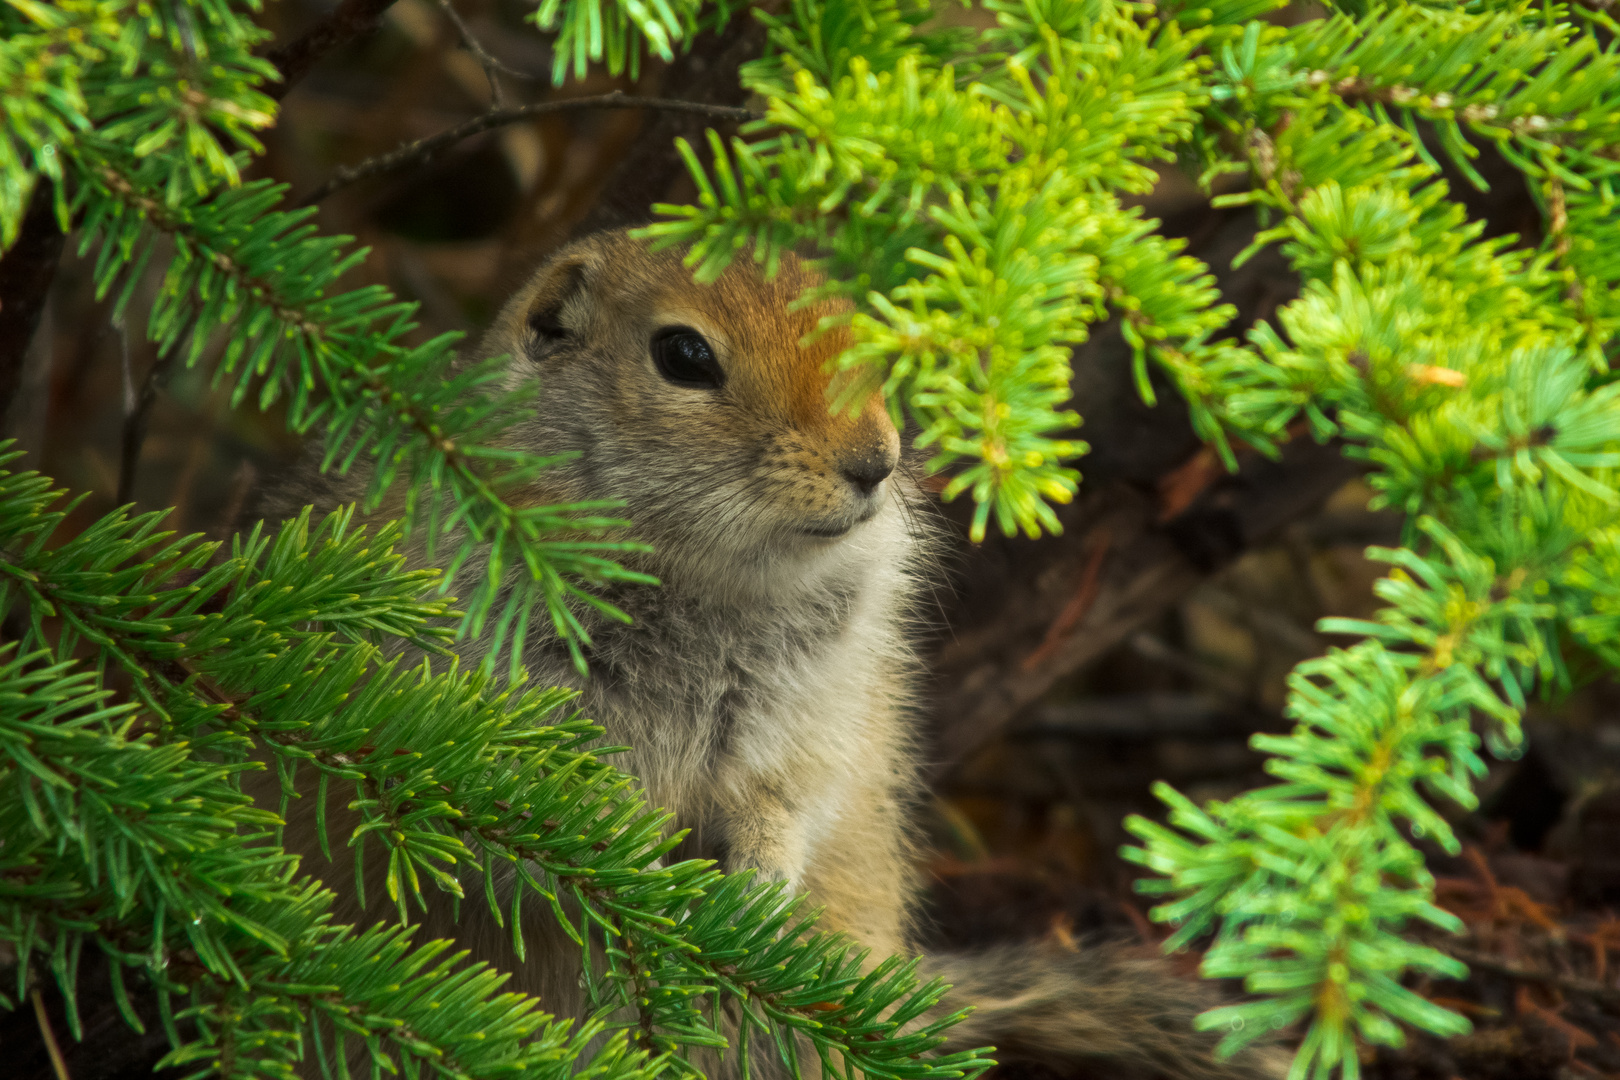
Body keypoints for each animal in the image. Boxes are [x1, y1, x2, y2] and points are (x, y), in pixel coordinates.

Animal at [262, 229, 1276, 1080]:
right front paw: (644, 877)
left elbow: (784, 803)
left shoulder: (808, 716)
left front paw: (749, 901)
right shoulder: (495, 694)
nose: (873, 462)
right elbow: (542, 823)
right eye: (682, 355)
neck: (704, 580)